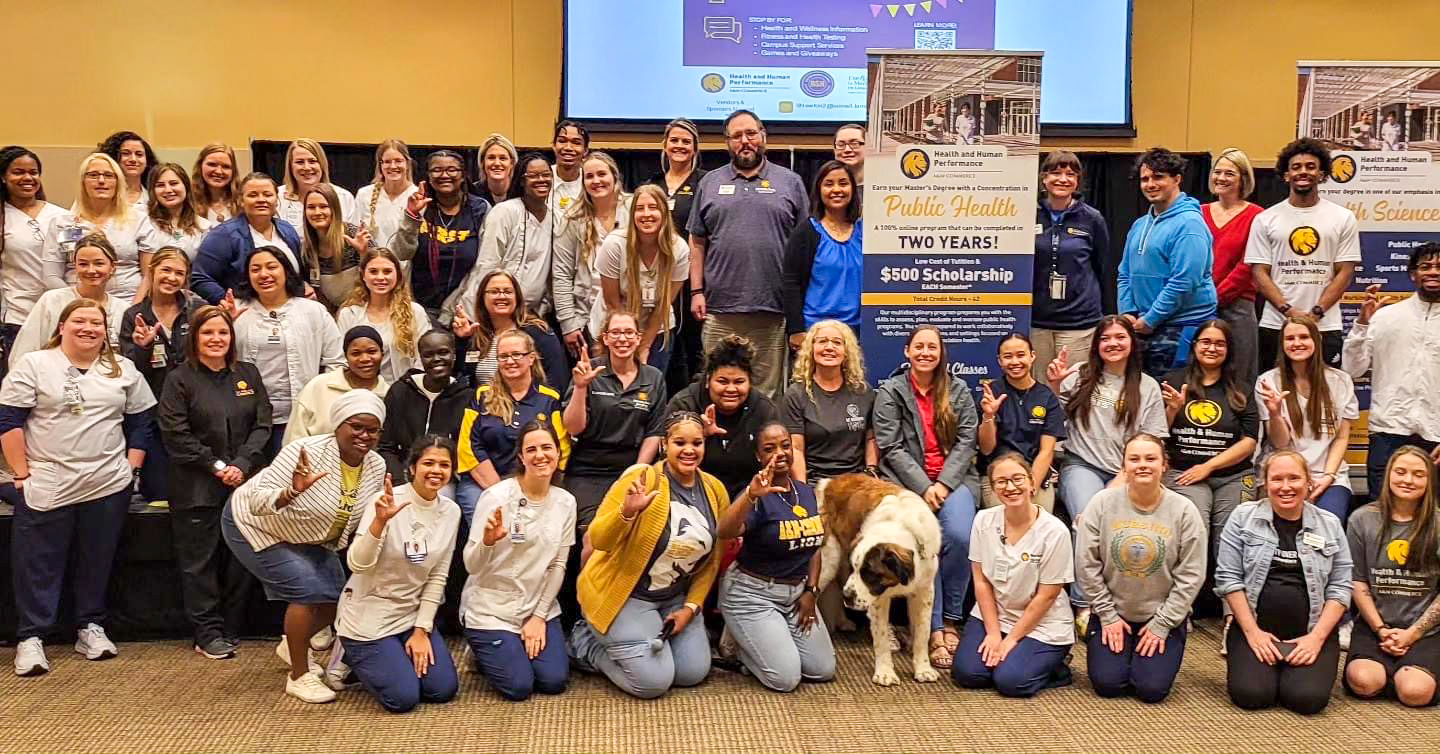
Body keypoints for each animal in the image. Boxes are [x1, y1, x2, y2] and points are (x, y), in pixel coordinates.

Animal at [817, 474, 938, 684]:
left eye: (869, 574)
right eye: (856, 568)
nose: (848, 597)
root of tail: (829, 482)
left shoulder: (924, 590)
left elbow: (923, 632)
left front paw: (923, 669)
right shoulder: (878, 599)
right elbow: (881, 638)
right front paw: (885, 673)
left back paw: (843, 620)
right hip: (829, 561)